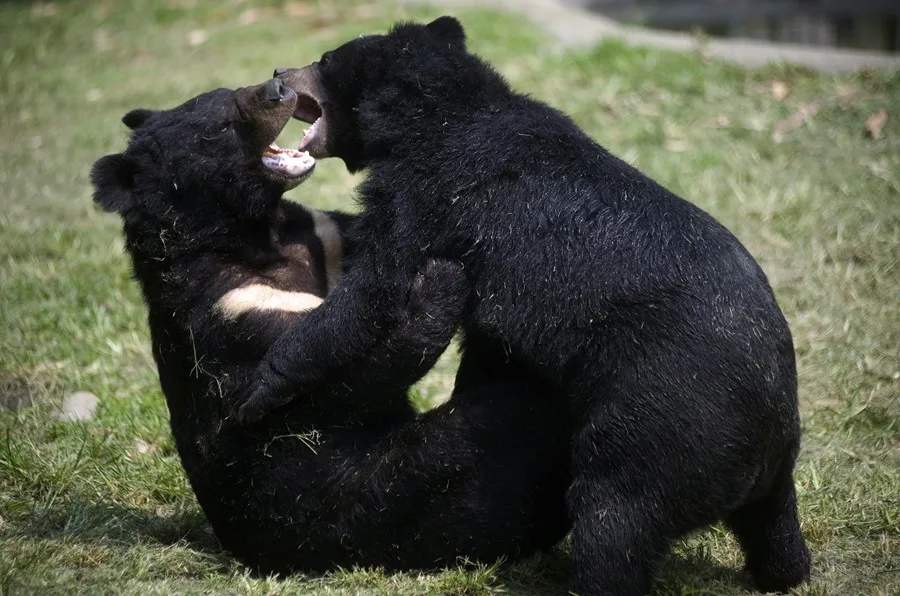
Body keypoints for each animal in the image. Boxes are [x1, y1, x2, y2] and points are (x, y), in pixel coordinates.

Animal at [90, 77, 571, 574]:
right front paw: (441, 278)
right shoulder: (236, 311)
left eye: (227, 91)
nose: (277, 89)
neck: (258, 236)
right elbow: (336, 385)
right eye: (221, 127)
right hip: (367, 501)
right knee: (493, 428)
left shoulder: (325, 235)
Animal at [236, 18, 812, 596]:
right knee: (772, 527)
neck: (441, 115)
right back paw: (786, 570)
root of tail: (769, 426)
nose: (280, 73)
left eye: (326, 61)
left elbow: (372, 291)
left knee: (615, 516)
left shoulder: (427, 198)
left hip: (660, 421)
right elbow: (484, 351)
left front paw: (259, 390)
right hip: (760, 471)